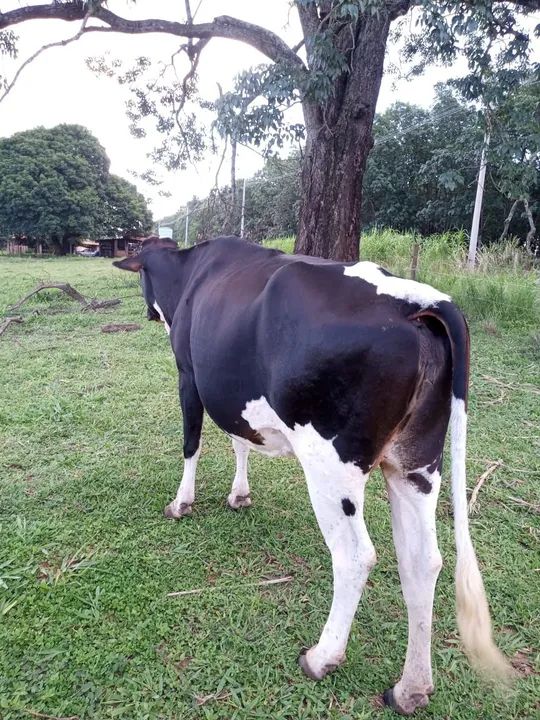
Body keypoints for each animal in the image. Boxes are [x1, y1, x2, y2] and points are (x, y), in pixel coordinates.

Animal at [114, 235, 512, 714]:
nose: (146, 312)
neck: (189, 276)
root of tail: (416, 300)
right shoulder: (231, 392)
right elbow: (239, 439)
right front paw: (239, 493)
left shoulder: (190, 374)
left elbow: (193, 441)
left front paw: (182, 502)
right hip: (416, 465)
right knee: (422, 560)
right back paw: (410, 688)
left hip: (330, 468)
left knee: (356, 556)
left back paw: (322, 657)